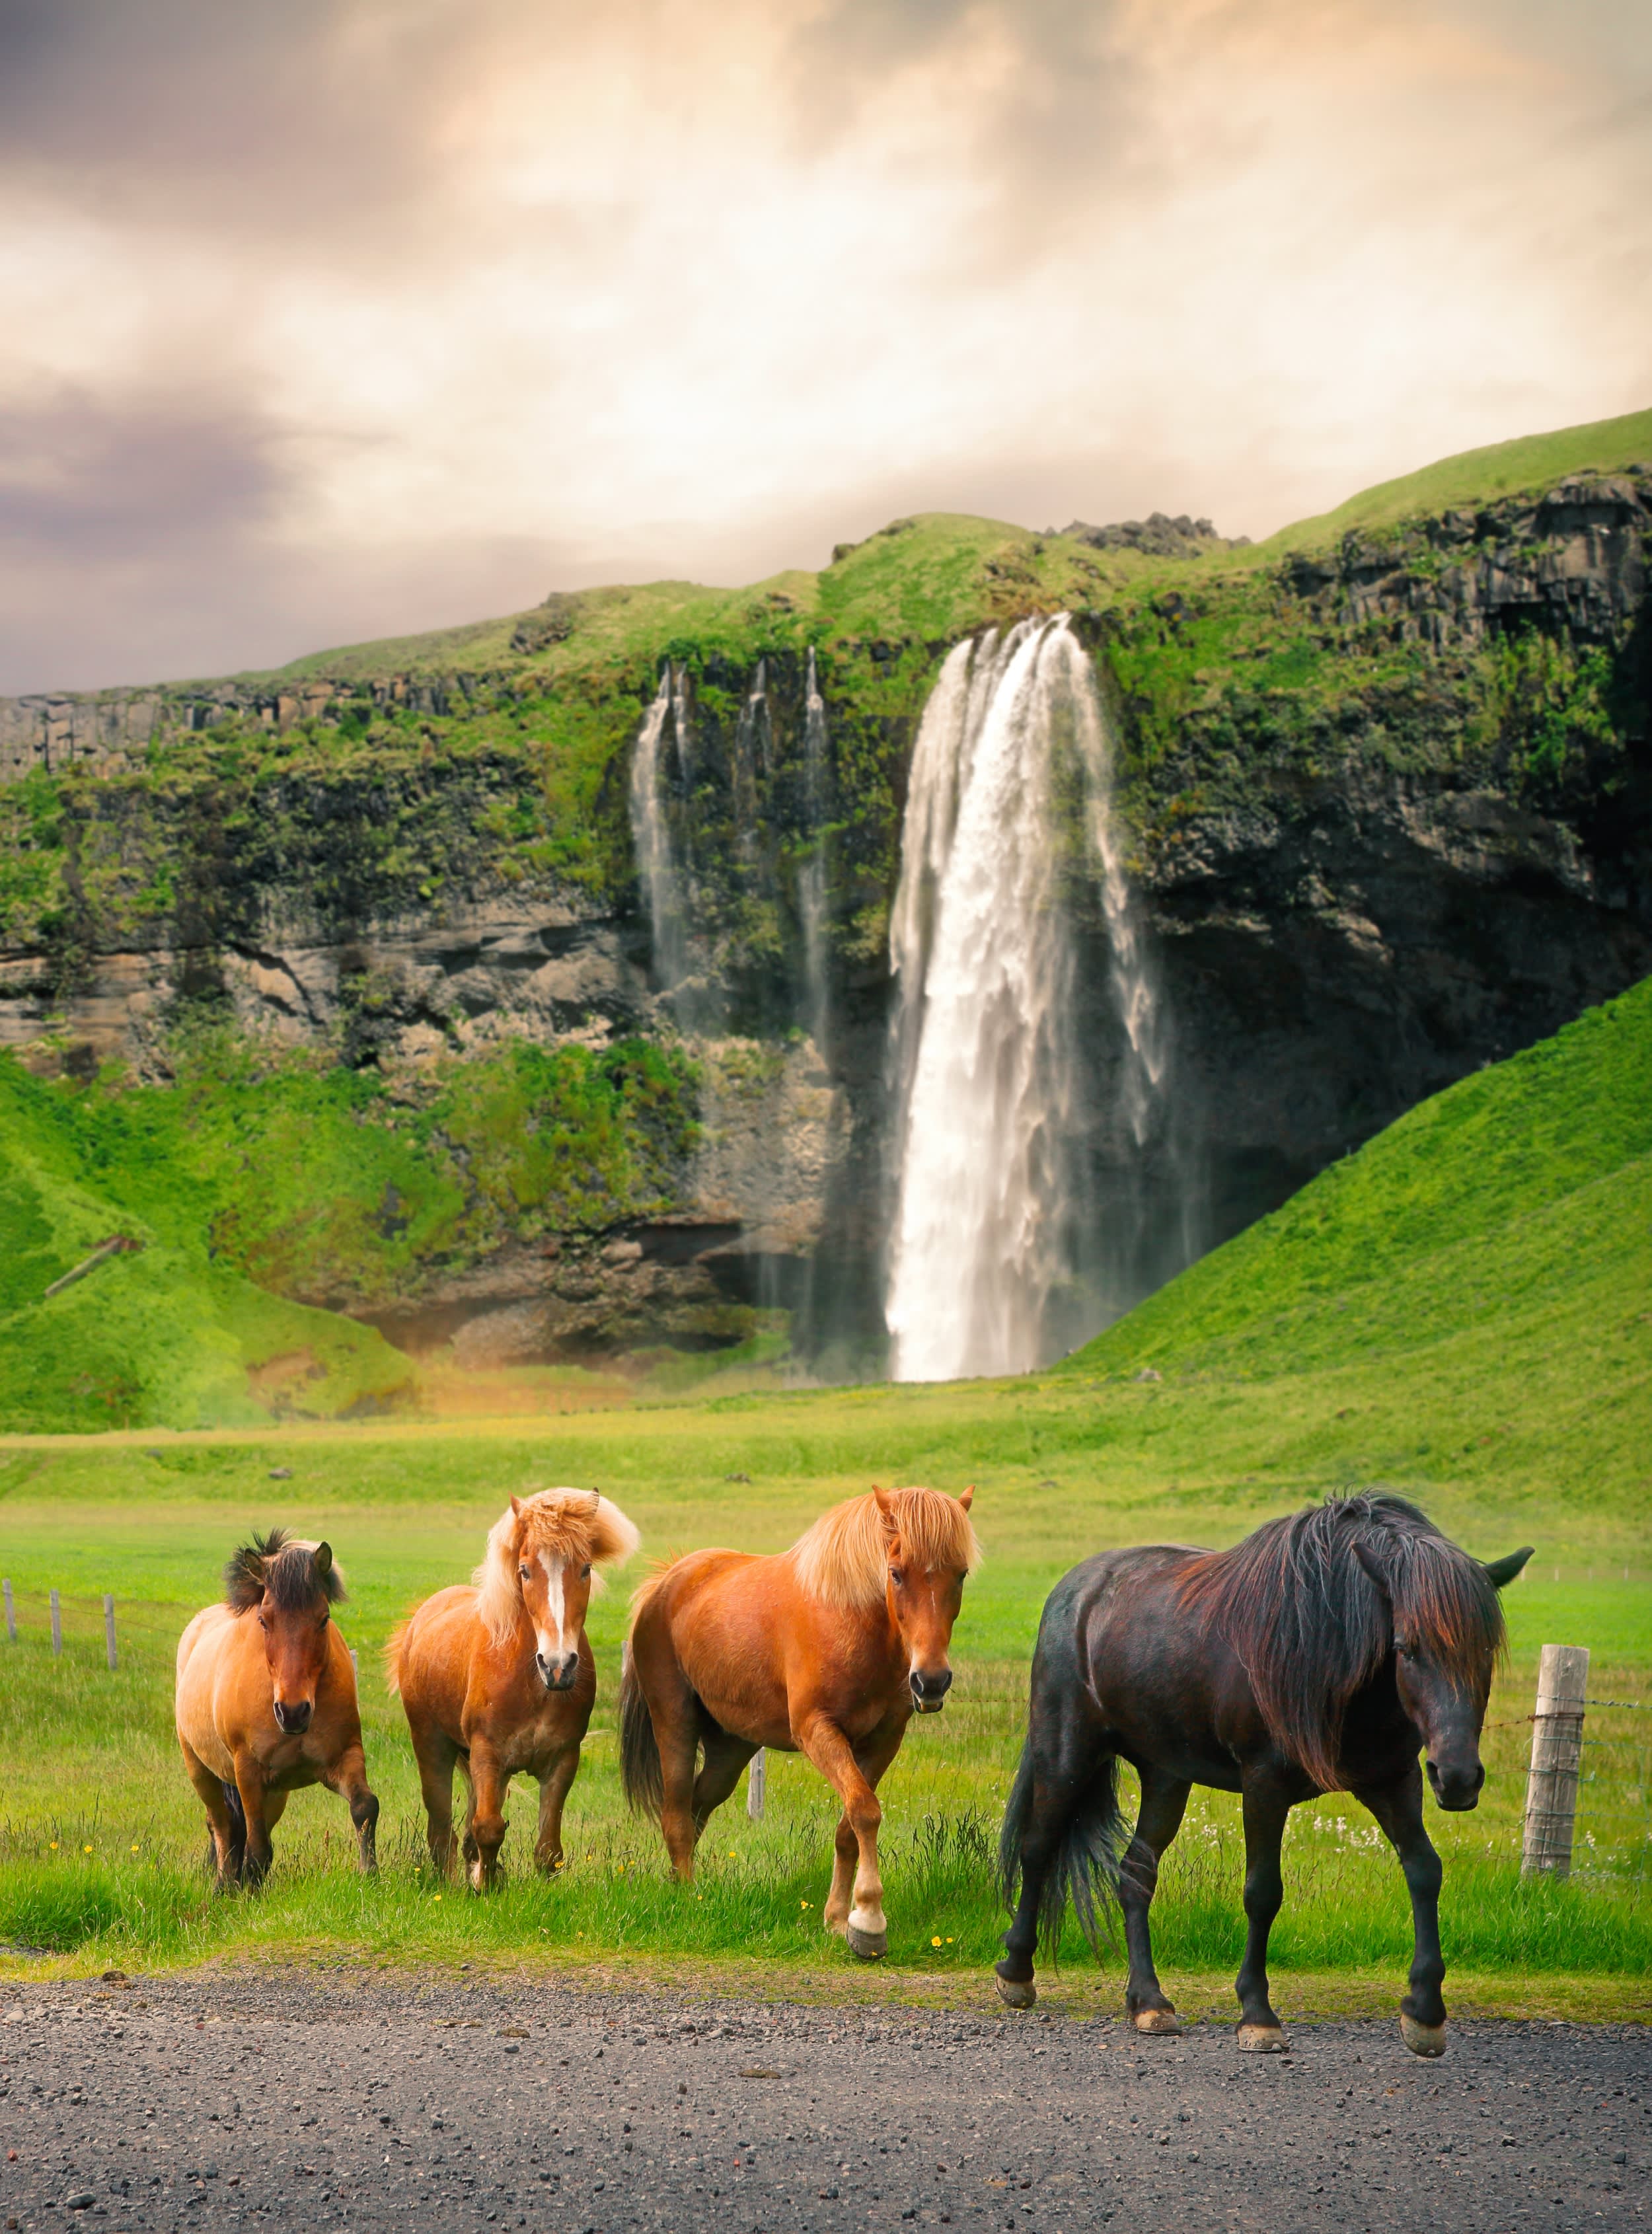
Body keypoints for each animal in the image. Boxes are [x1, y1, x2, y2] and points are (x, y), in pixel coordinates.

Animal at [175, 1519, 382, 1885]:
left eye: (323, 1618)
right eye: (263, 1621)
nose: (293, 1713)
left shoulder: (343, 1757)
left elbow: (365, 1807)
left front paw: (370, 1875)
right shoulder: (249, 1775)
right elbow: (256, 1849)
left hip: (276, 1793)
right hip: (200, 1770)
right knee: (221, 1826)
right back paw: (223, 1886)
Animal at [391, 1483, 644, 1885]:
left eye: (586, 1569)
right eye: (524, 1571)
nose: (558, 1665)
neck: (532, 1685)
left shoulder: (562, 1760)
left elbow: (548, 1850)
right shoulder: (486, 1754)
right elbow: (488, 1829)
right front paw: (486, 1886)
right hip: (432, 1747)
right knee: (441, 1832)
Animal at [621, 1492, 983, 1966]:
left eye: (960, 1574)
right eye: (896, 1573)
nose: (931, 1681)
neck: (850, 1617)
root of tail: (667, 1582)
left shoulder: (884, 1740)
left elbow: (850, 1824)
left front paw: (838, 1918)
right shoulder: (818, 1730)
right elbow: (865, 1810)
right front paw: (869, 1921)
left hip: (731, 1750)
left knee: (697, 1806)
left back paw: (683, 1885)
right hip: (675, 1723)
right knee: (677, 1812)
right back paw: (686, 1895)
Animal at [996, 1501, 1538, 2055]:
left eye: (1485, 1652)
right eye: (1407, 1647)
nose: (1457, 1777)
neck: (1327, 1646)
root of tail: (1076, 1586)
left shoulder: (1394, 1780)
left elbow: (1425, 1870)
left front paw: (1425, 2010)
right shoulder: (1264, 1785)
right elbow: (1263, 1893)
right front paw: (1257, 2013)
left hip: (1166, 1776)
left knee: (1135, 1874)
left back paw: (1148, 2001)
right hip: (1066, 1754)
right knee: (1037, 1848)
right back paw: (1017, 1971)